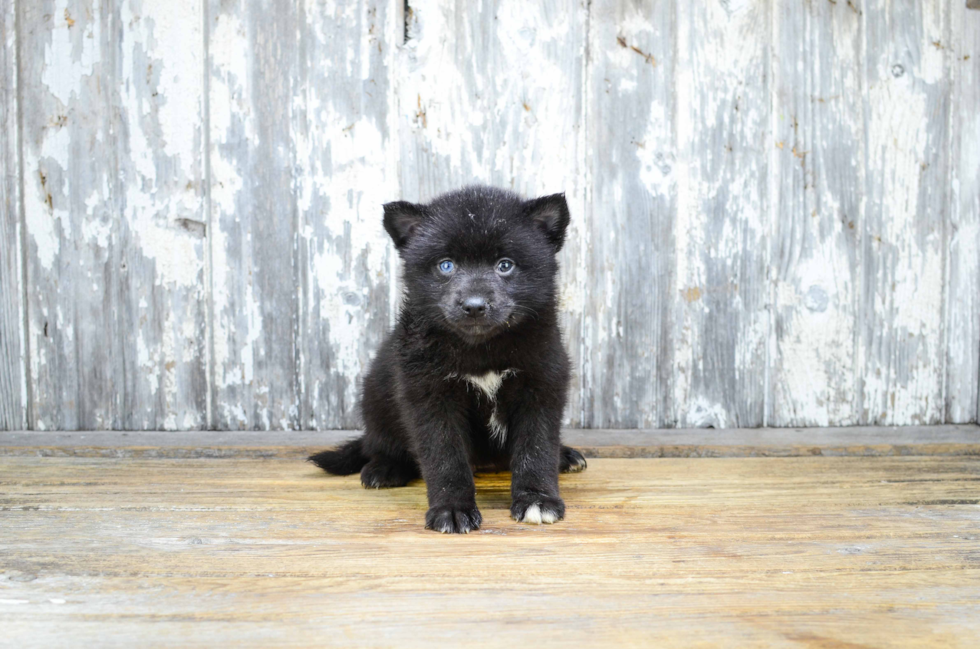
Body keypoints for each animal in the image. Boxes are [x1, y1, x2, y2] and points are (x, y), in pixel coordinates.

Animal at [310, 184, 584, 532]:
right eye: (446, 265)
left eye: (505, 264)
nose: (474, 305)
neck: (480, 351)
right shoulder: (430, 395)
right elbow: (444, 456)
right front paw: (452, 509)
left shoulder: (541, 384)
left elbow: (536, 450)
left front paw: (538, 499)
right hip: (375, 399)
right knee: (379, 443)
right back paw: (385, 468)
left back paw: (565, 456)